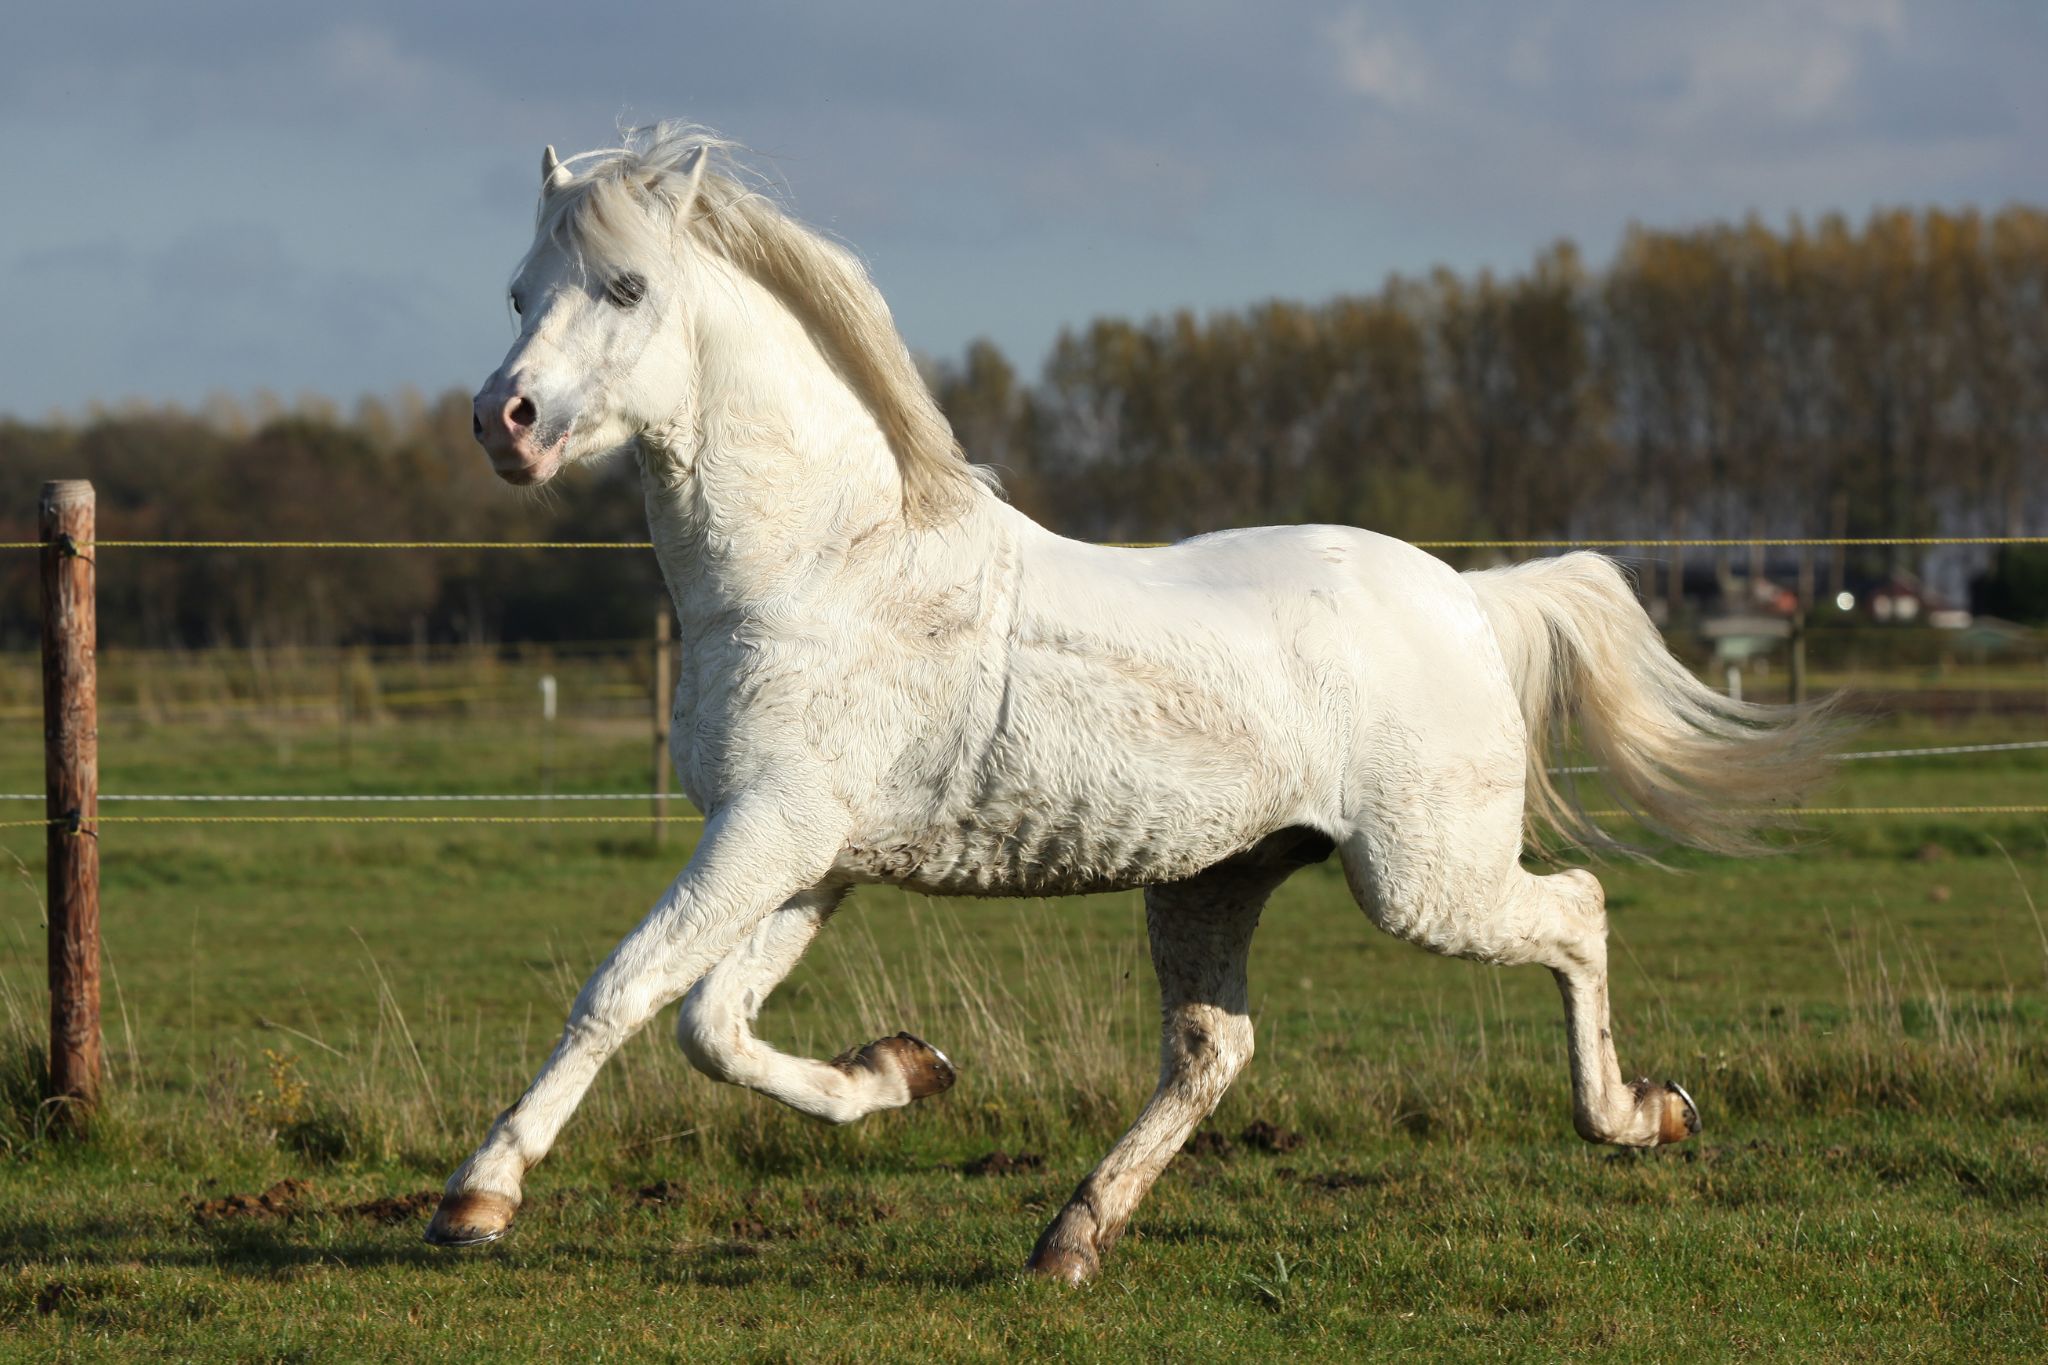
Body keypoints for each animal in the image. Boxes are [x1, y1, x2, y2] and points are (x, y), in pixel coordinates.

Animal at [429, 123, 1834, 1282]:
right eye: (516, 292)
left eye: (625, 288)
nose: (504, 421)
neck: (830, 566)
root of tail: (1467, 600)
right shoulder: (807, 854)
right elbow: (711, 1026)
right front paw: (906, 1072)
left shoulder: (771, 833)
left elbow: (622, 992)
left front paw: (476, 1200)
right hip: (1214, 879)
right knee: (1212, 1051)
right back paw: (1070, 1237)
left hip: (1422, 883)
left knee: (1575, 911)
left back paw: (1640, 1115)